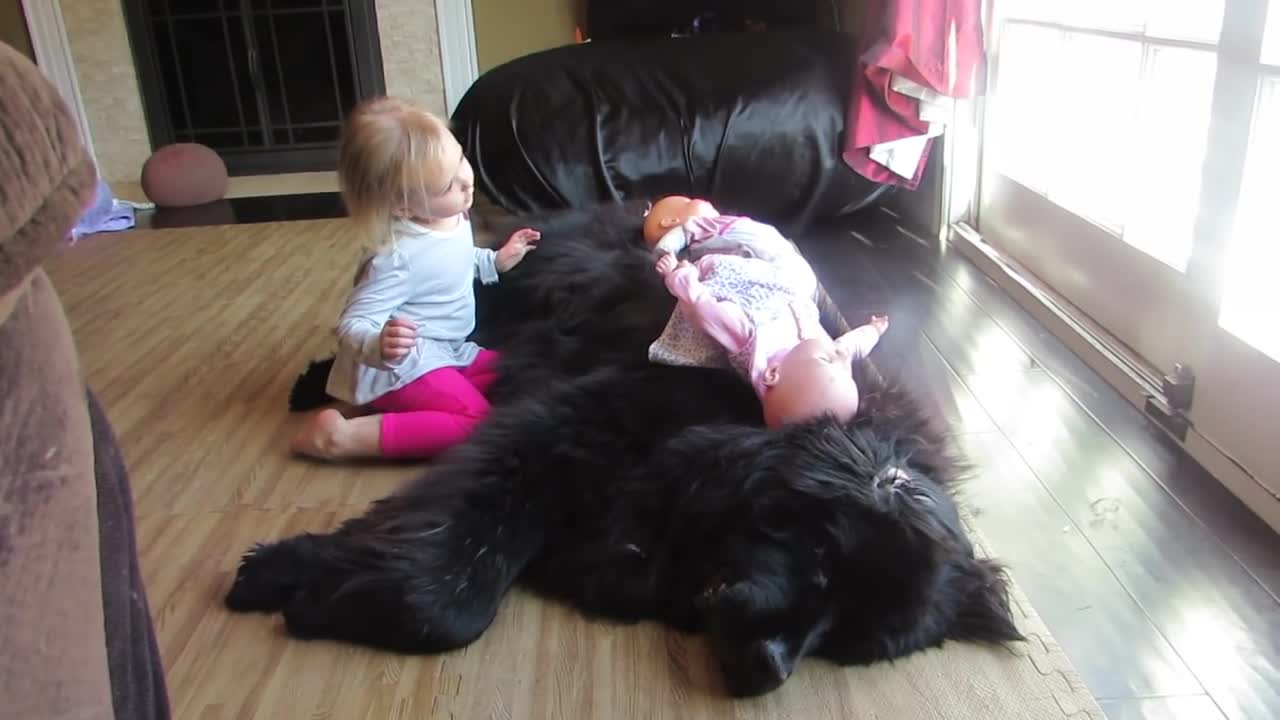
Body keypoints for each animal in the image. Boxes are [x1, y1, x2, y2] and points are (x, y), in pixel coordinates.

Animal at [222, 198, 1018, 691]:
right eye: (822, 560)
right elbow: (452, 586)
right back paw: (327, 381)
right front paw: (290, 580)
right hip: (504, 294)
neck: (737, 426)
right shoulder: (553, 431)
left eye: (848, 641)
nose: (768, 668)